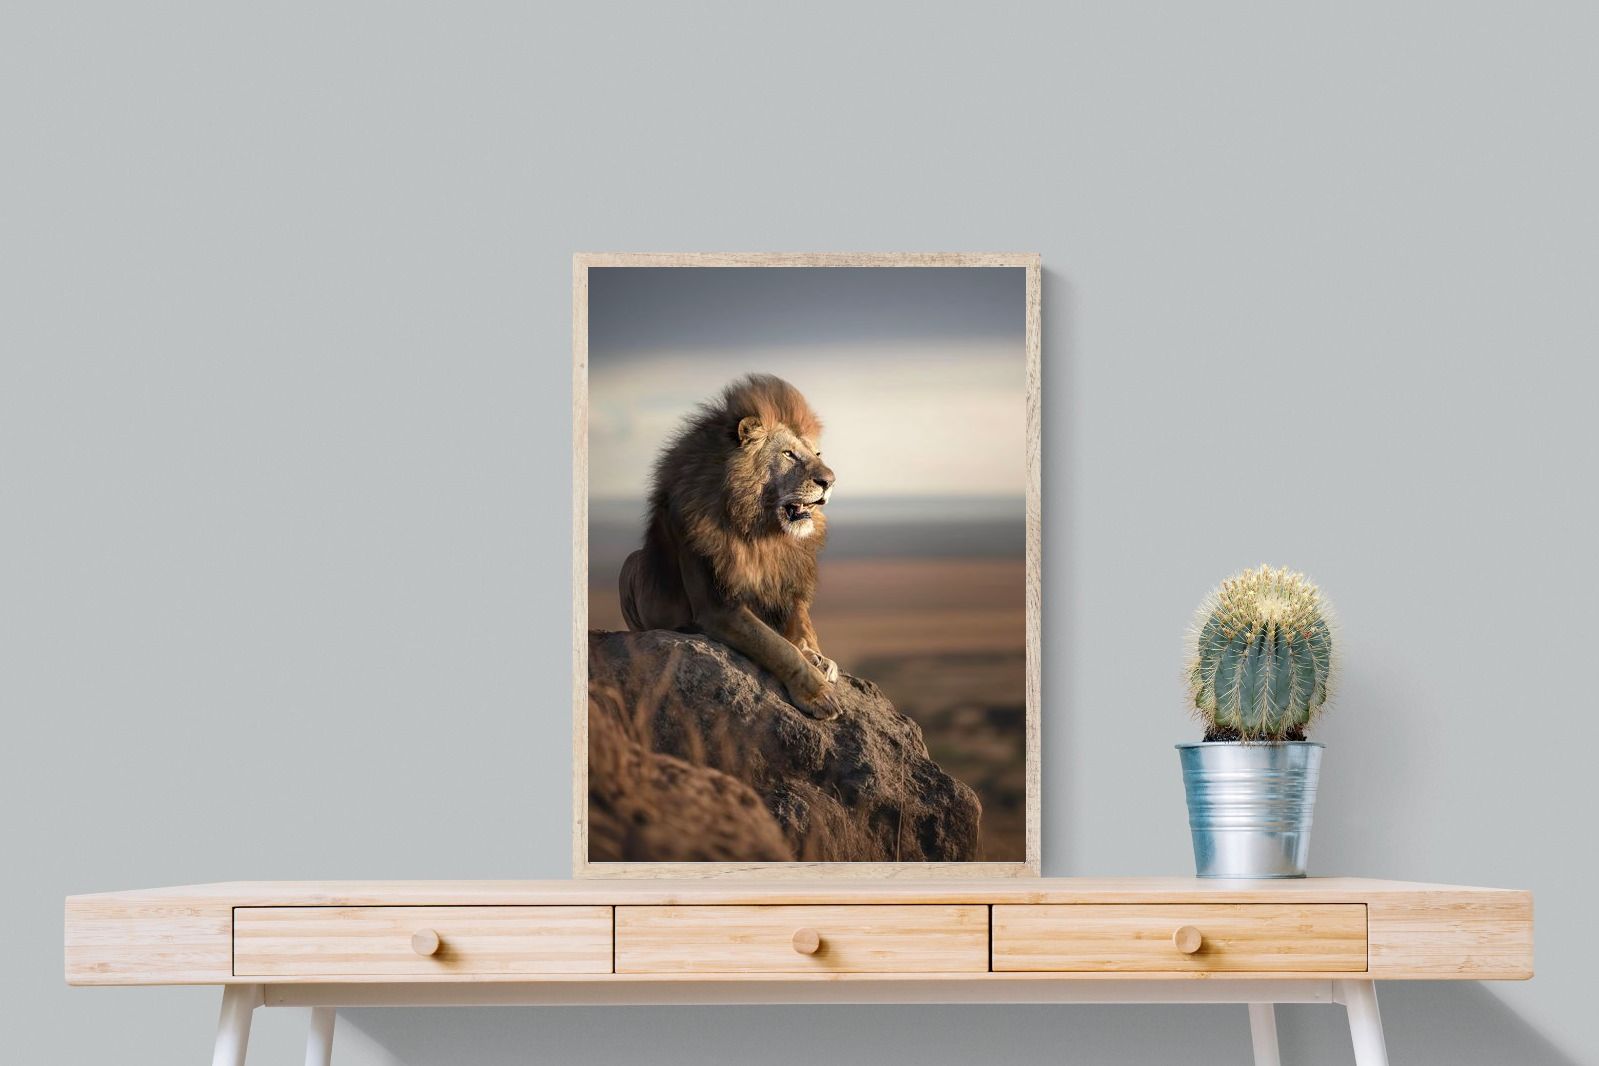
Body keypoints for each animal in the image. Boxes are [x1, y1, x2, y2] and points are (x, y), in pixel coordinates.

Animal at [618, 373, 841, 719]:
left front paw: (818, 657)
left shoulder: (788, 584)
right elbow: (777, 646)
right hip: (630, 564)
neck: (762, 530)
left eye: (817, 455)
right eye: (788, 454)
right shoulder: (717, 607)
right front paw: (818, 693)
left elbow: (802, 627)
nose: (829, 481)